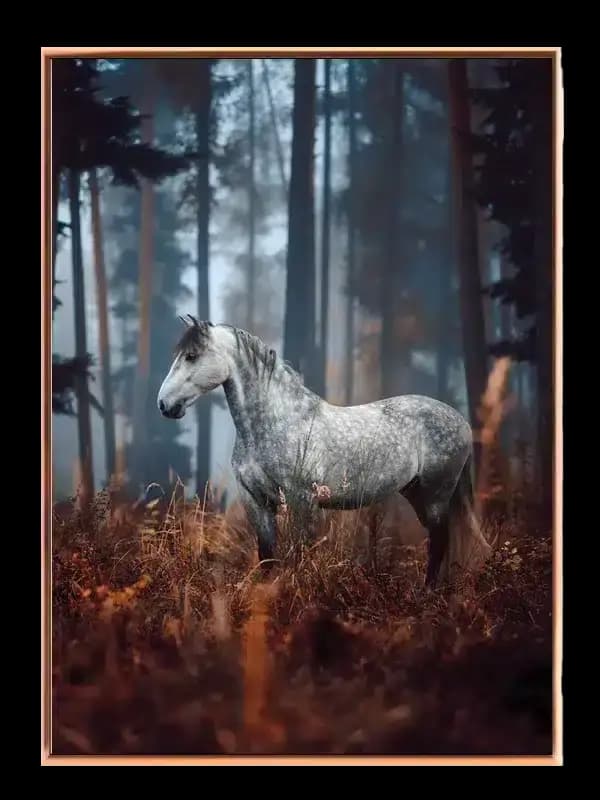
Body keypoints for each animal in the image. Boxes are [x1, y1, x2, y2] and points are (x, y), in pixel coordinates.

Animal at [157, 317, 491, 587]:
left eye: (192, 356)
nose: (164, 404)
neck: (276, 419)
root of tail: (461, 420)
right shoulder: (256, 500)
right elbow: (267, 556)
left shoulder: (301, 499)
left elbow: (300, 552)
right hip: (417, 492)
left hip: (436, 494)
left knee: (440, 540)